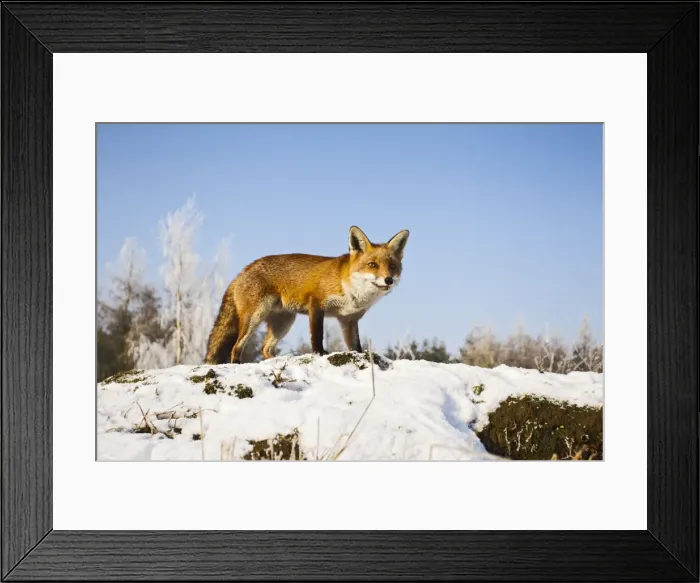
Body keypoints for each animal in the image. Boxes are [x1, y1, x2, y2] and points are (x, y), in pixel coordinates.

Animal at [204, 225, 409, 364]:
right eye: (372, 265)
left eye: (392, 266)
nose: (389, 280)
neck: (354, 293)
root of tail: (243, 270)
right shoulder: (316, 304)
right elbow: (317, 335)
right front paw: (320, 354)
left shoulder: (349, 319)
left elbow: (355, 346)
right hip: (255, 317)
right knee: (236, 347)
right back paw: (237, 363)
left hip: (284, 323)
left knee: (265, 348)